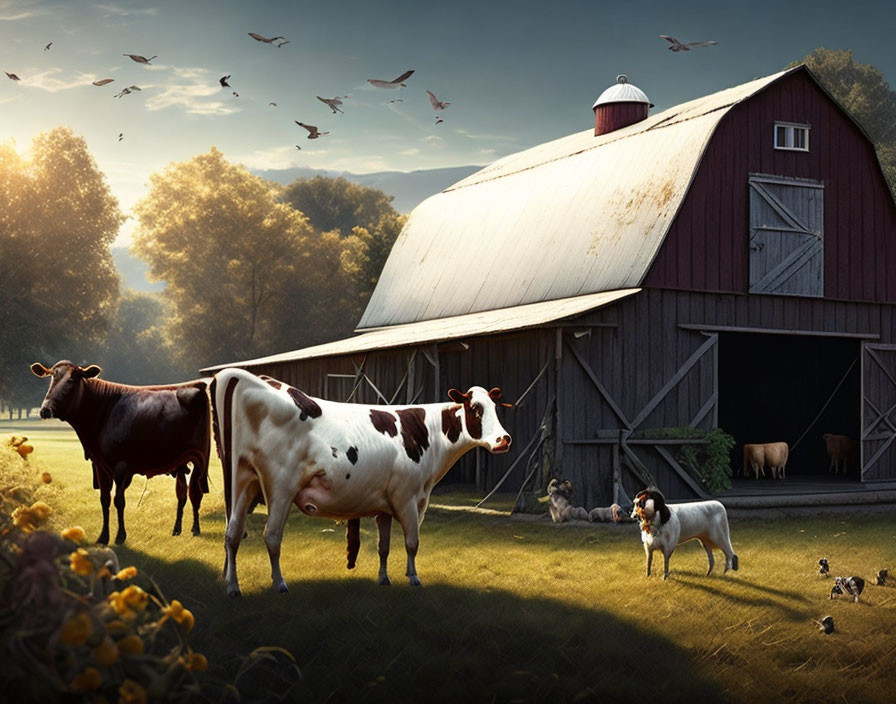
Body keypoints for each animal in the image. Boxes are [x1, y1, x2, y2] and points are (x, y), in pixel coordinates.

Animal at [209, 366, 512, 596]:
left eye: (496, 408)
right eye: (476, 409)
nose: (504, 439)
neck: (426, 431)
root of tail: (250, 378)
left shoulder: (385, 505)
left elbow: (383, 546)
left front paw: (384, 578)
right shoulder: (408, 497)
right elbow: (412, 541)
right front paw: (413, 578)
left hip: (242, 480)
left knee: (232, 533)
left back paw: (232, 587)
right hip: (280, 486)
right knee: (271, 536)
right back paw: (279, 583)